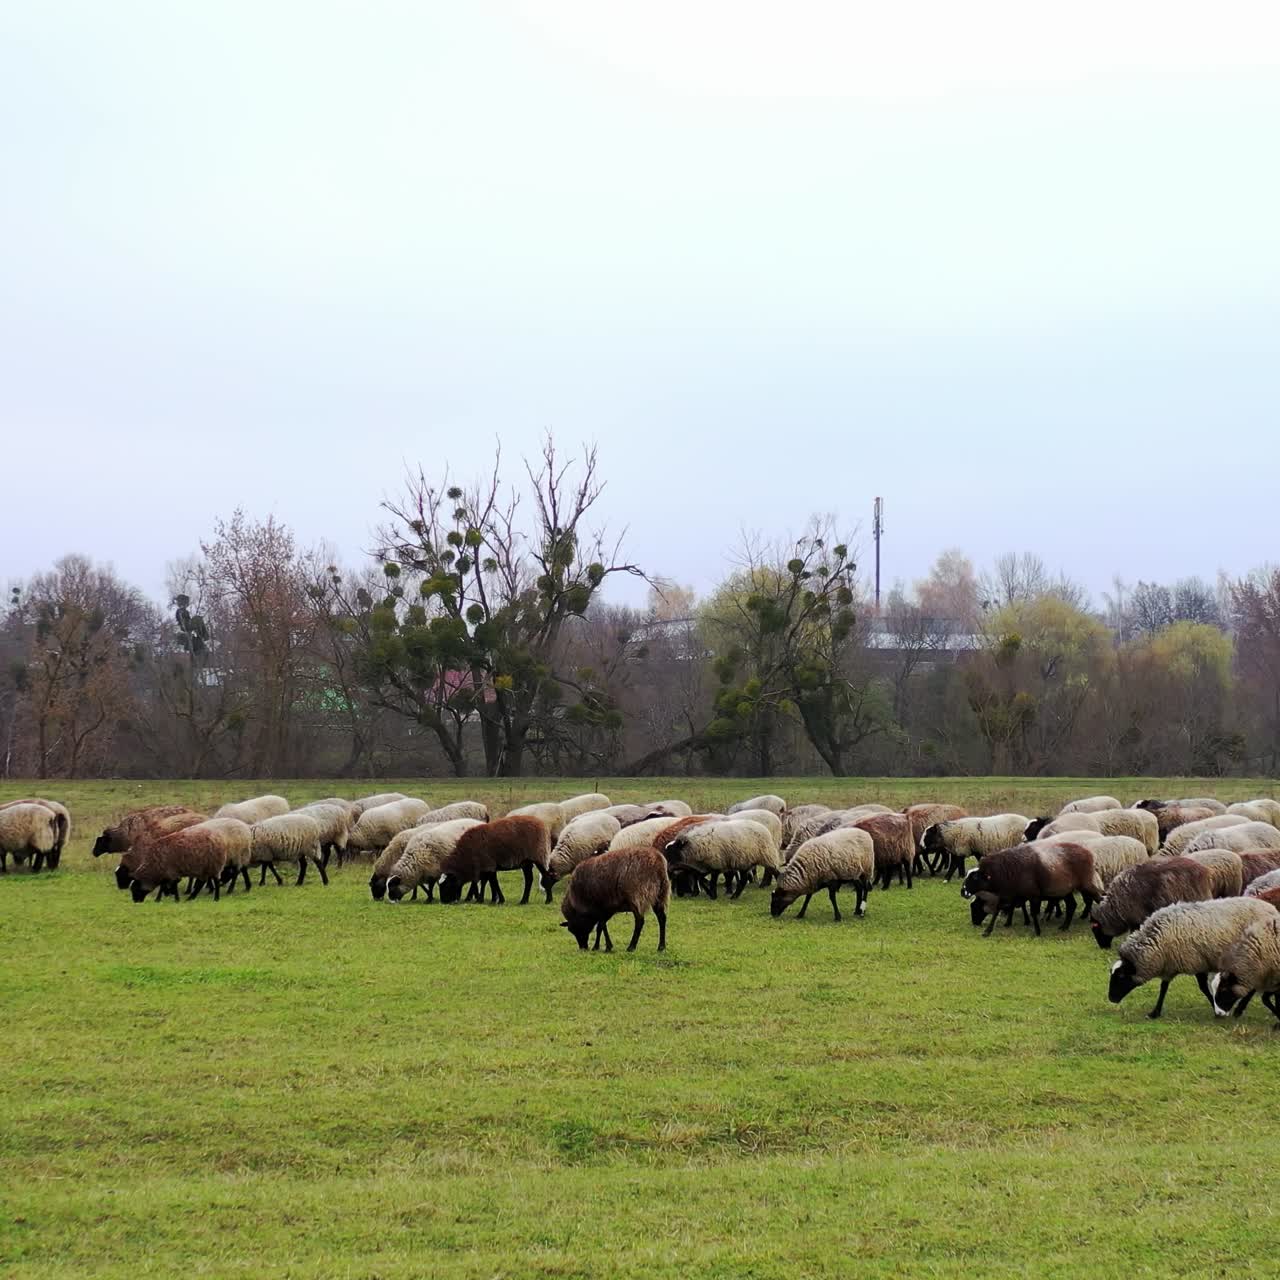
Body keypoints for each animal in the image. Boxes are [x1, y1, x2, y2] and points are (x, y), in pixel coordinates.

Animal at [961, 842, 1102, 936]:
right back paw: (1064, 927)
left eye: (974, 877)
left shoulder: (1033, 895)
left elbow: (1033, 912)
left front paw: (1037, 931)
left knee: (1100, 899)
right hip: (1066, 890)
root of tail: (1089, 853)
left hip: (1086, 885)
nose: (962, 892)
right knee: (1072, 905)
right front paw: (988, 931)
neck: (1005, 871)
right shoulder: (1010, 894)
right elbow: (998, 911)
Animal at [1108, 896, 1278, 1018]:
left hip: (1256, 961)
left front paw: (1216, 1010)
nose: (1111, 999)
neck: (1157, 942)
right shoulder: (1170, 966)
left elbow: (1203, 987)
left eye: (1121, 976)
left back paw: (1240, 1010)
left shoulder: (1197, 962)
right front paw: (1155, 1012)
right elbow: (1164, 987)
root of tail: (1271, 908)